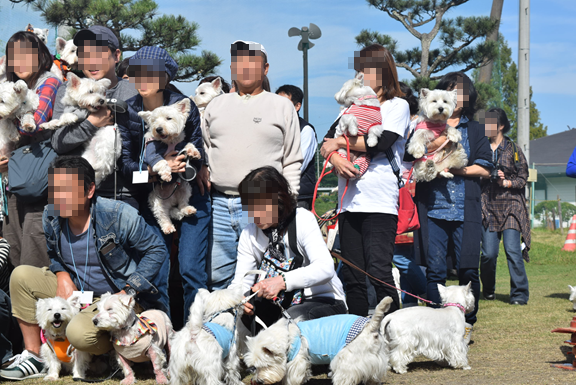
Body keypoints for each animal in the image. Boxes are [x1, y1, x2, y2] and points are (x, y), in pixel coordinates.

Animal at [138, 97, 201, 232]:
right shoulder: (152, 153)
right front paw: (167, 175)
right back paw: (168, 227)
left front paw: (194, 152)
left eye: (168, 118)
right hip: (157, 202)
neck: (168, 141)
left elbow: (188, 144)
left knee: (182, 203)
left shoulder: (180, 145)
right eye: (154, 120)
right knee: (162, 216)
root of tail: (171, 201)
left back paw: (188, 210)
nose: (158, 129)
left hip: (185, 188)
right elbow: (161, 161)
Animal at [245, 296, 394, 382]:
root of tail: (371, 325)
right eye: (254, 367)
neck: (287, 337)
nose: (258, 381)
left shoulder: (297, 362)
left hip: (347, 363)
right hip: (374, 362)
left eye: (265, 365)